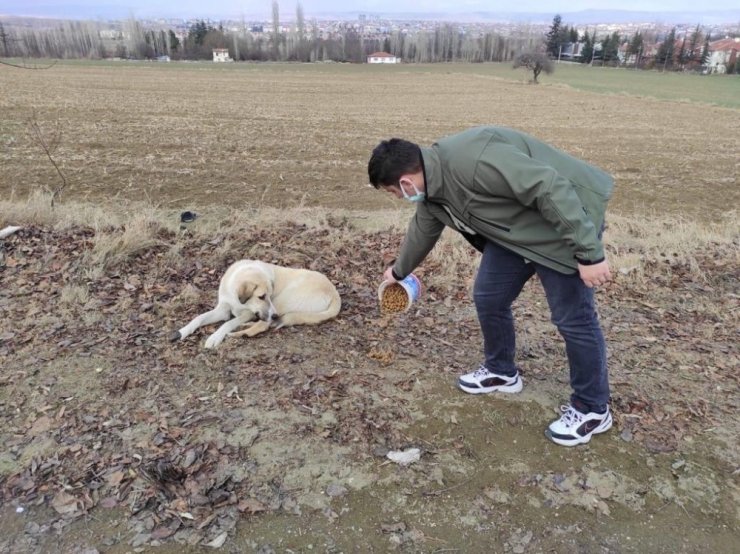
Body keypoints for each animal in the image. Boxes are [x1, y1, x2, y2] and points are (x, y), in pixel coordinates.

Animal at [171, 260, 342, 348]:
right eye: (261, 296)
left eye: (269, 295)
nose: (275, 315)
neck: (235, 297)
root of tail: (334, 293)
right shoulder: (223, 310)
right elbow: (198, 318)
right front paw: (182, 332)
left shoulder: (248, 313)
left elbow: (227, 324)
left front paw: (215, 337)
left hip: (283, 299)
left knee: (263, 325)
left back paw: (240, 333)